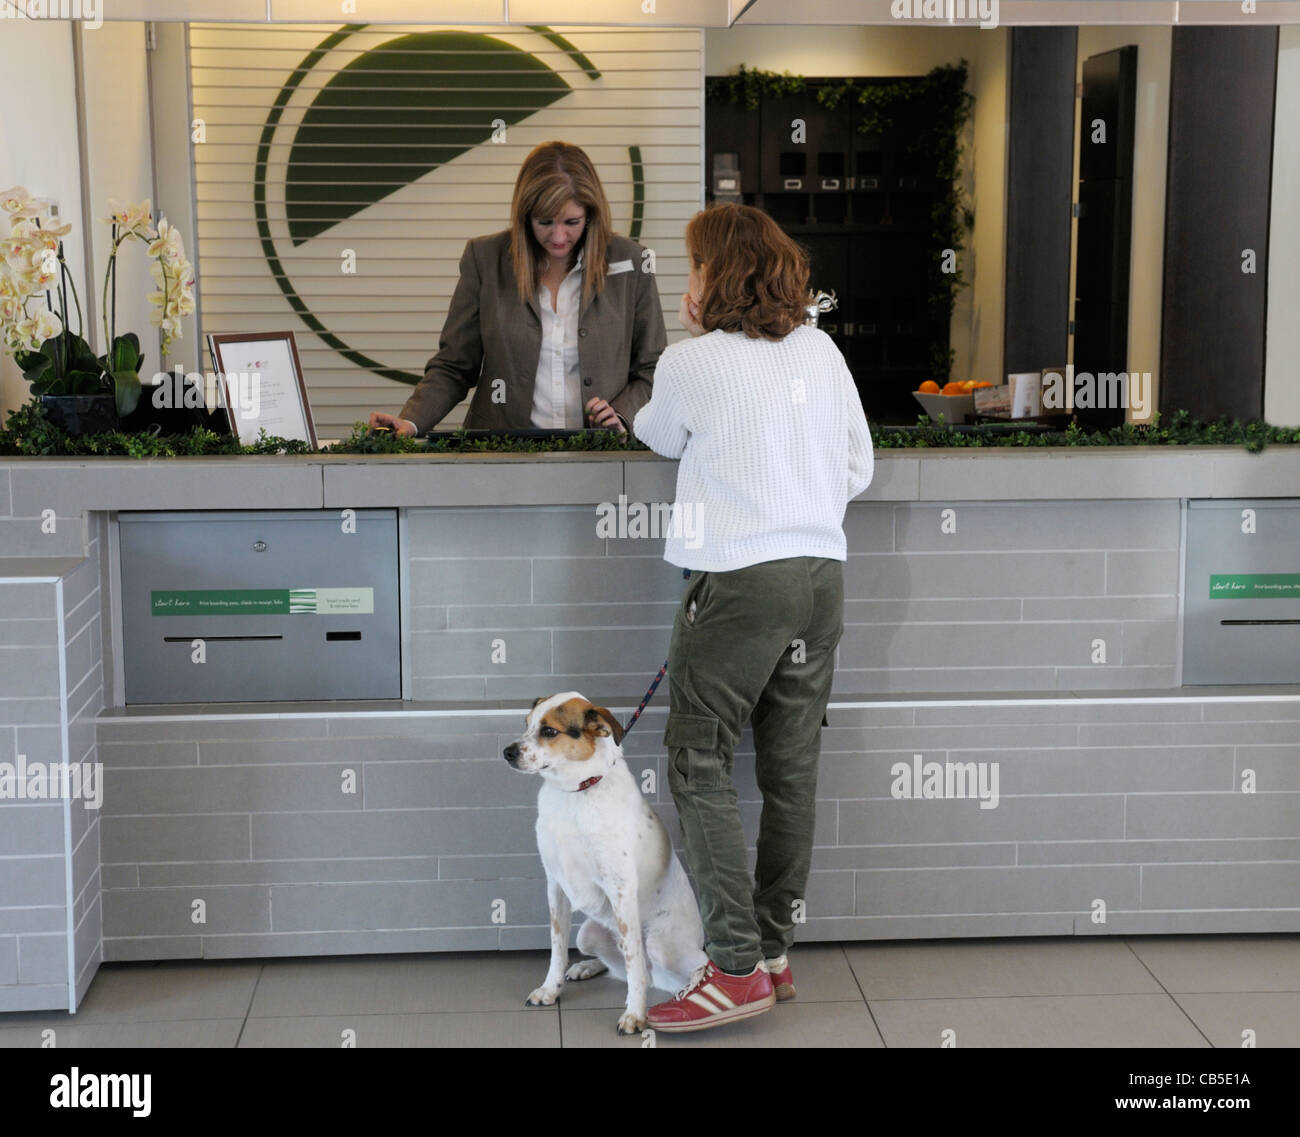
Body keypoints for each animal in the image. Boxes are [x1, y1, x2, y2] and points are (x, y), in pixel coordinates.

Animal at [504, 691, 712, 1034]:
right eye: (526, 724)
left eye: (549, 731)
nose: (506, 752)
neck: (576, 793)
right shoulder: (555, 885)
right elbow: (556, 949)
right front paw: (550, 989)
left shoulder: (621, 890)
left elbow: (633, 964)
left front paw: (635, 1013)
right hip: (587, 934)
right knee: (618, 968)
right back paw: (586, 967)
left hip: (662, 947)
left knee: (679, 967)